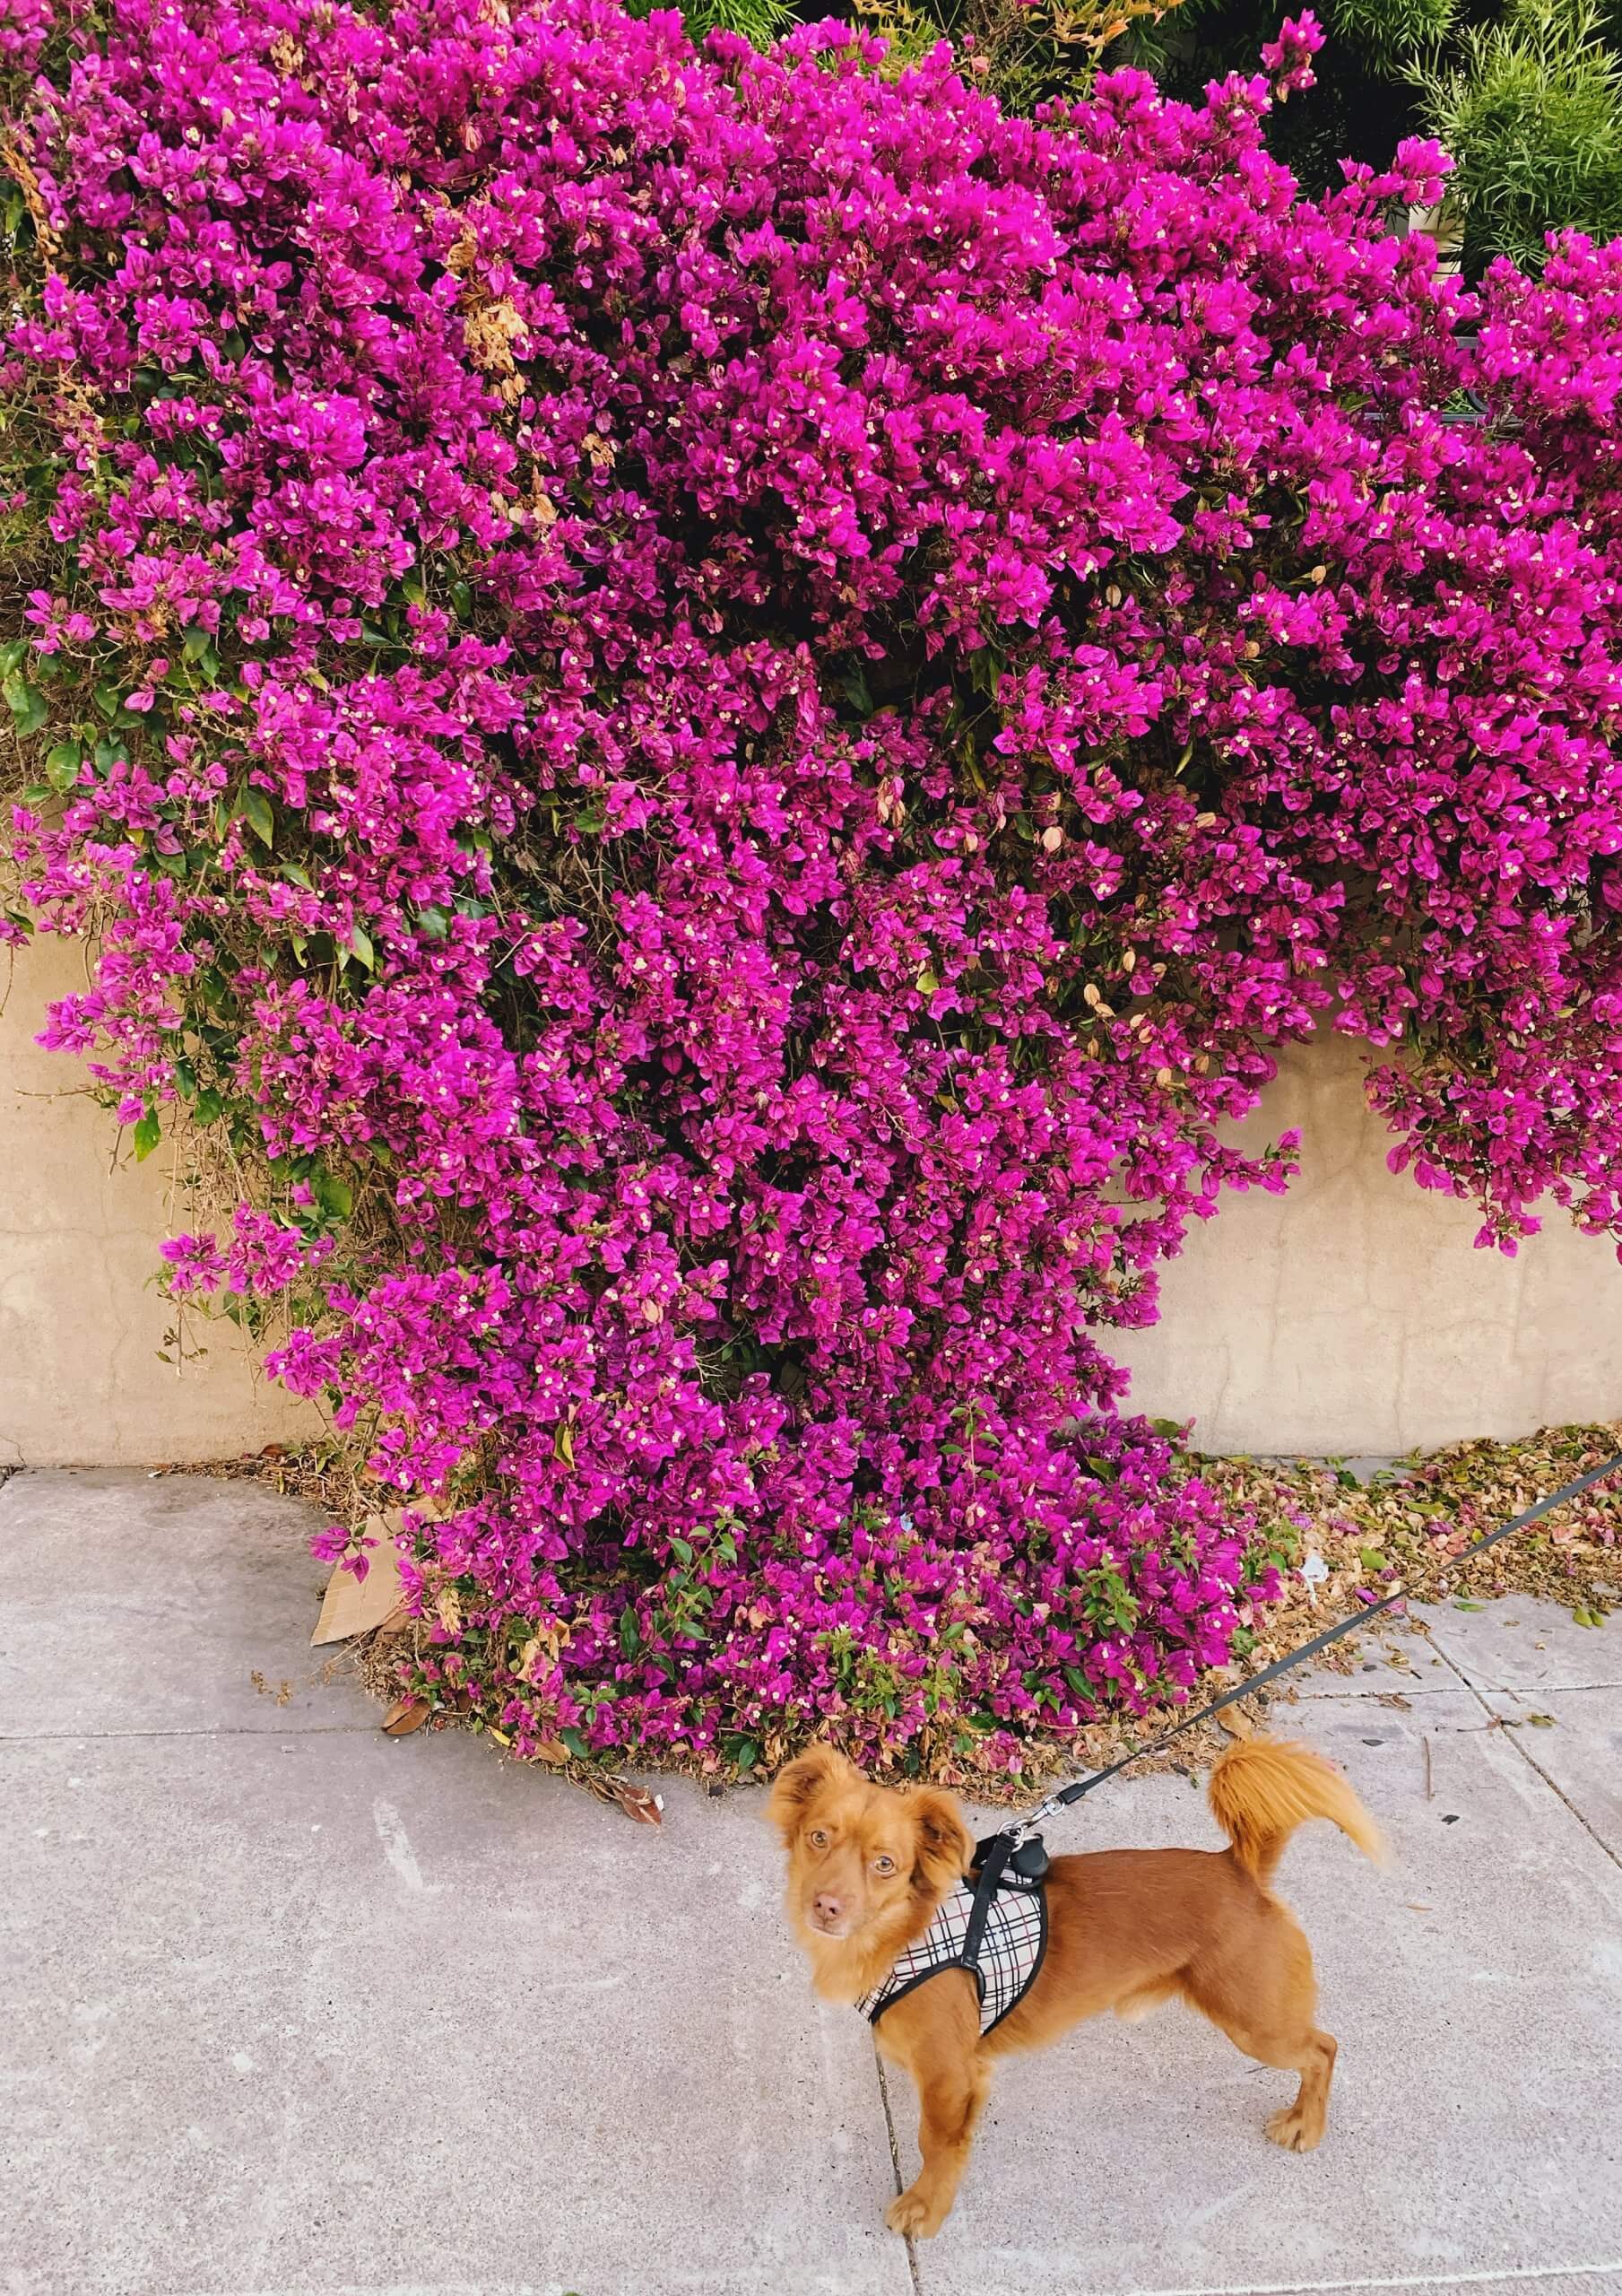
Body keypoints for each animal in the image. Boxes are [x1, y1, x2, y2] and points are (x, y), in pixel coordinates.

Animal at [770, 1744, 1385, 2231]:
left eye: (884, 1864)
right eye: (818, 1838)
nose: (825, 1906)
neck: (904, 1932)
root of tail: (1239, 1869)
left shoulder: (951, 2077)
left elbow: (937, 2145)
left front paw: (925, 2208)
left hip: (1256, 2023)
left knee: (1323, 2049)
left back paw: (1306, 2124)